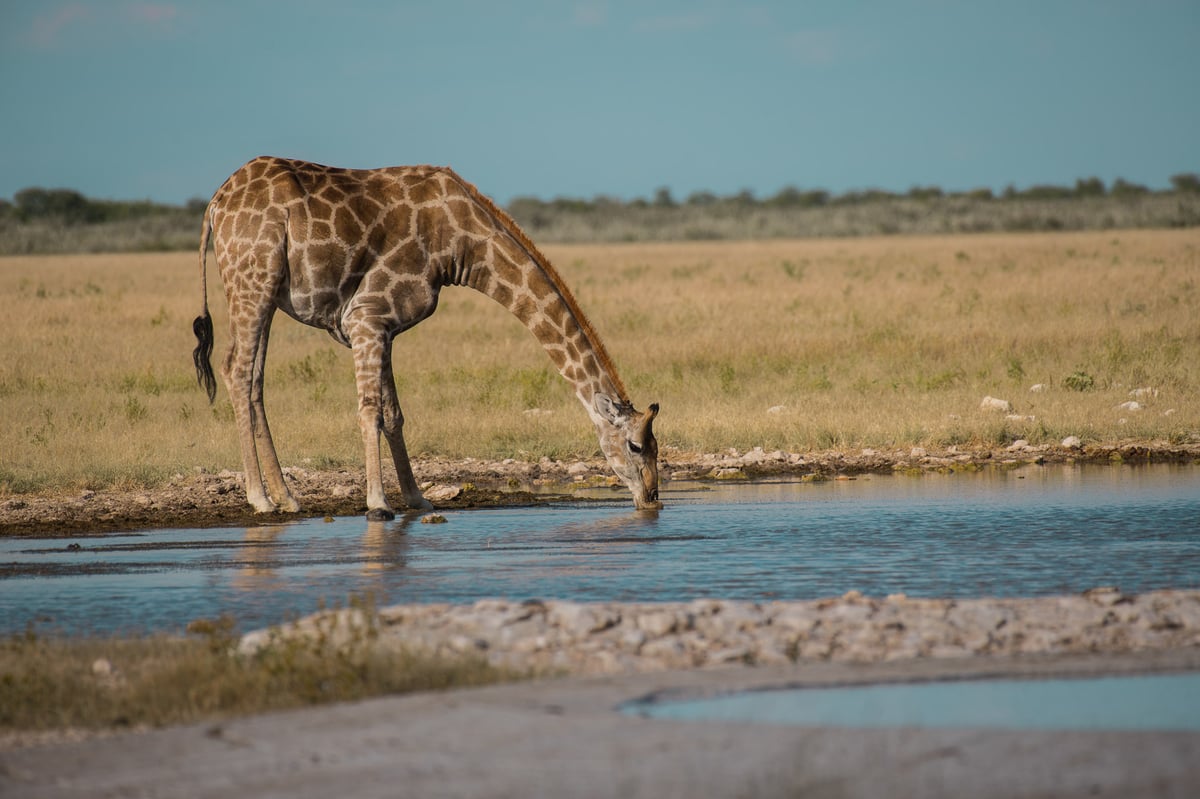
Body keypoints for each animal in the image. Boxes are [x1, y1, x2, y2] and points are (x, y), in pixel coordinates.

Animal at [192, 155, 662, 520]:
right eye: (636, 446)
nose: (652, 499)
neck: (460, 245)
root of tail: (216, 202)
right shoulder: (367, 316)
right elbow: (370, 411)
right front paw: (378, 503)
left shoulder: (384, 328)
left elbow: (394, 413)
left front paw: (417, 498)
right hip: (253, 281)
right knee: (236, 370)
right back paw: (260, 499)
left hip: (266, 293)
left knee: (253, 378)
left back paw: (286, 497)